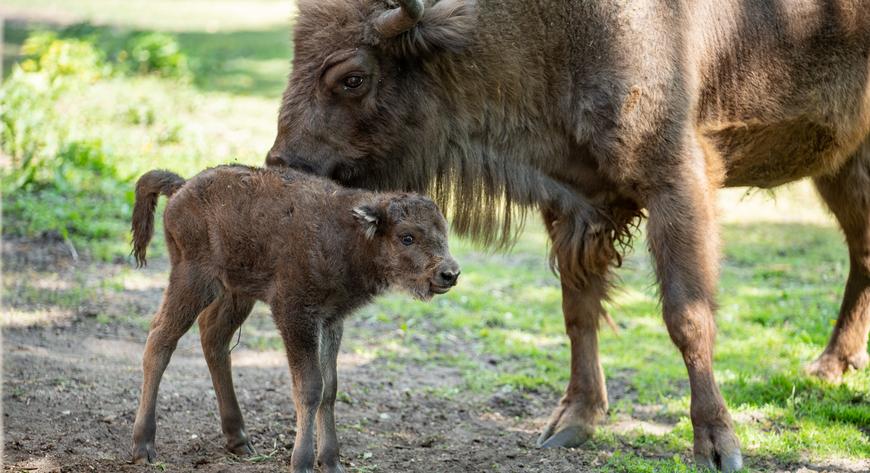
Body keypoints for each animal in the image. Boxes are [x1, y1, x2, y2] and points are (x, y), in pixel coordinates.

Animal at [130, 164, 464, 470]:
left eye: (443, 232)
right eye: (407, 237)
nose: (449, 273)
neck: (351, 234)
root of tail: (181, 187)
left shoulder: (331, 321)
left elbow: (330, 388)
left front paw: (331, 461)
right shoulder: (295, 316)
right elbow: (310, 388)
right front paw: (302, 461)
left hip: (236, 292)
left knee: (213, 337)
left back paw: (239, 439)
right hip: (194, 279)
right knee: (160, 340)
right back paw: (143, 446)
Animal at [268, 1, 870, 470]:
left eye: (352, 77)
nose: (281, 163)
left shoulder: (676, 184)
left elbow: (687, 316)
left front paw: (718, 446)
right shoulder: (574, 205)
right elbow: (578, 312)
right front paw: (572, 423)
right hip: (842, 166)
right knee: (862, 252)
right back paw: (832, 366)